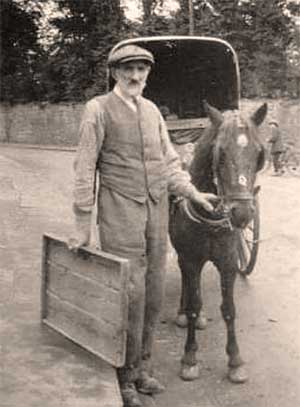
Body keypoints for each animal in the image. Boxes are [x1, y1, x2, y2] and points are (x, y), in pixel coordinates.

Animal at [169, 100, 268, 384]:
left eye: (259, 154)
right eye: (220, 153)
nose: (242, 214)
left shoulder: (228, 263)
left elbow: (229, 309)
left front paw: (235, 360)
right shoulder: (190, 259)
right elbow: (194, 304)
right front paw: (190, 357)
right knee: (187, 283)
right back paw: (182, 313)